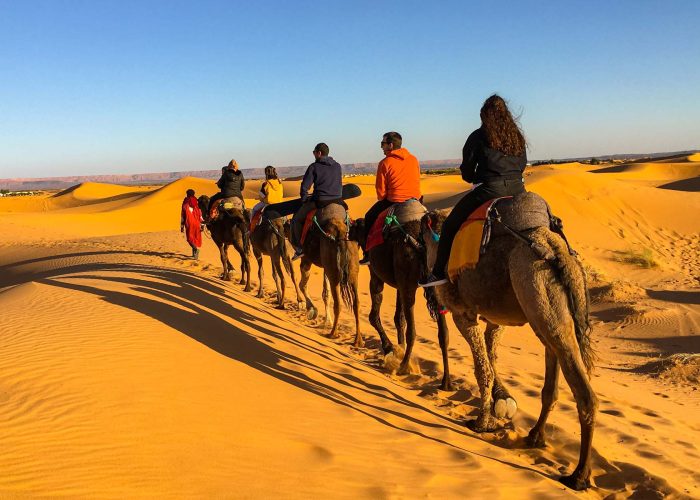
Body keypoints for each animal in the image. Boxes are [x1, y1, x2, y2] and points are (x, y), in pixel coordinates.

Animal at [298, 203, 360, 348]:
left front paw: (312, 310)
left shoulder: (307, 258)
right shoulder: (326, 267)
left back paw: (333, 333)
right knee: (356, 303)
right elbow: (325, 293)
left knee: (338, 303)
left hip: (334, 272)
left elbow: (303, 284)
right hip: (352, 273)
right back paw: (358, 340)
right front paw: (324, 319)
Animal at [352, 215, 452, 390]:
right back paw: (446, 382)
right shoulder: (400, 285)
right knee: (443, 333)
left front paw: (390, 349)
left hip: (408, 281)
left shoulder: (376, 275)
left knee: (412, 330)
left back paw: (404, 366)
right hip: (433, 282)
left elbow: (374, 316)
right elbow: (399, 319)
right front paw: (399, 348)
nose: (349, 233)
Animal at [422, 208, 596, 492]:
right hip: (549, 312)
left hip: (535, 287)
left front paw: (482, 422)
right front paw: (502, 401)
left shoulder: (463, 313)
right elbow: (491, 353)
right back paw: (535, 436)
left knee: (583, 392)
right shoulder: (496, 319)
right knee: (553, 374)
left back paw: (579, 476)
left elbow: (482, 368)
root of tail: (558, 254)